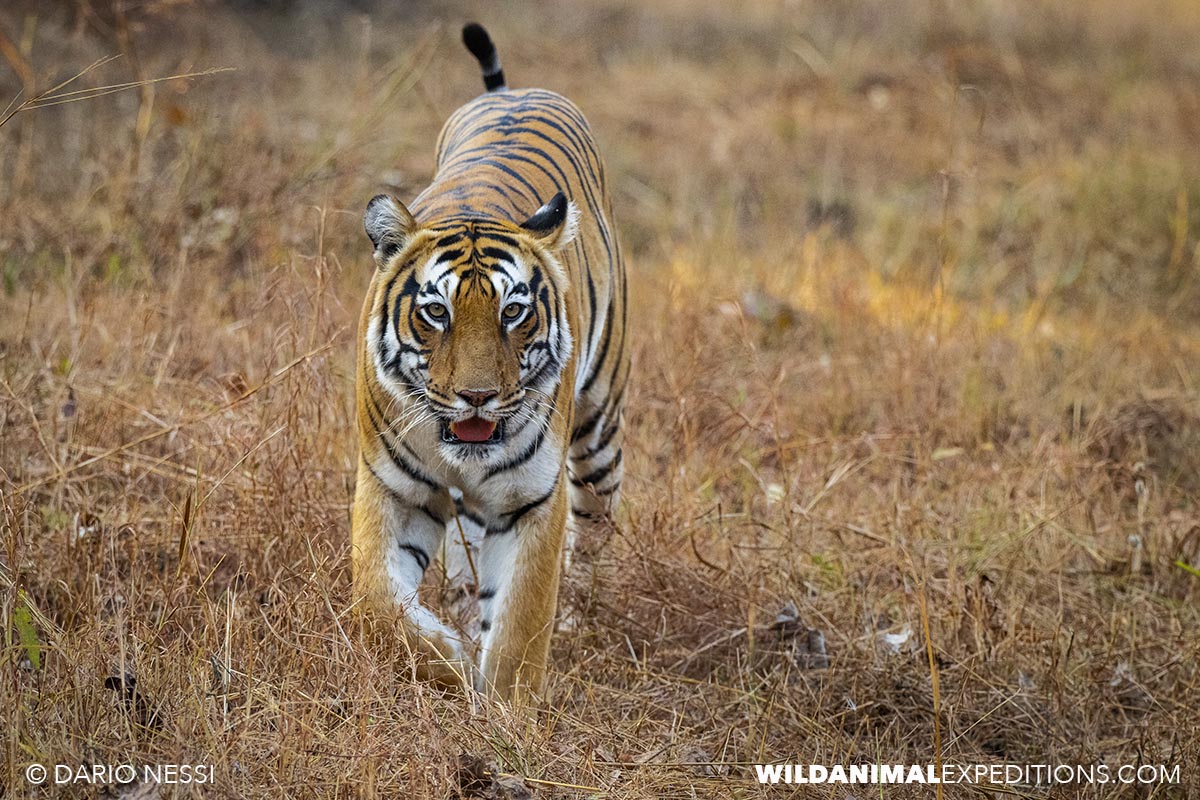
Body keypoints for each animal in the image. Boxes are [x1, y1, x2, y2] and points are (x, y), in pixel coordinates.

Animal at [351, 23, 628, 702]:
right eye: (436, 312)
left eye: (513, 312)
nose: (476, 397)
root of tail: (515, 91)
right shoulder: (391, 486)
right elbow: (378, 602)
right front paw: (449, 660)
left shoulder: (533, 498)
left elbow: (523, 625)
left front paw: (506, 709)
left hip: (598, 428)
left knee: (596, 526)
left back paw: (577, 616)